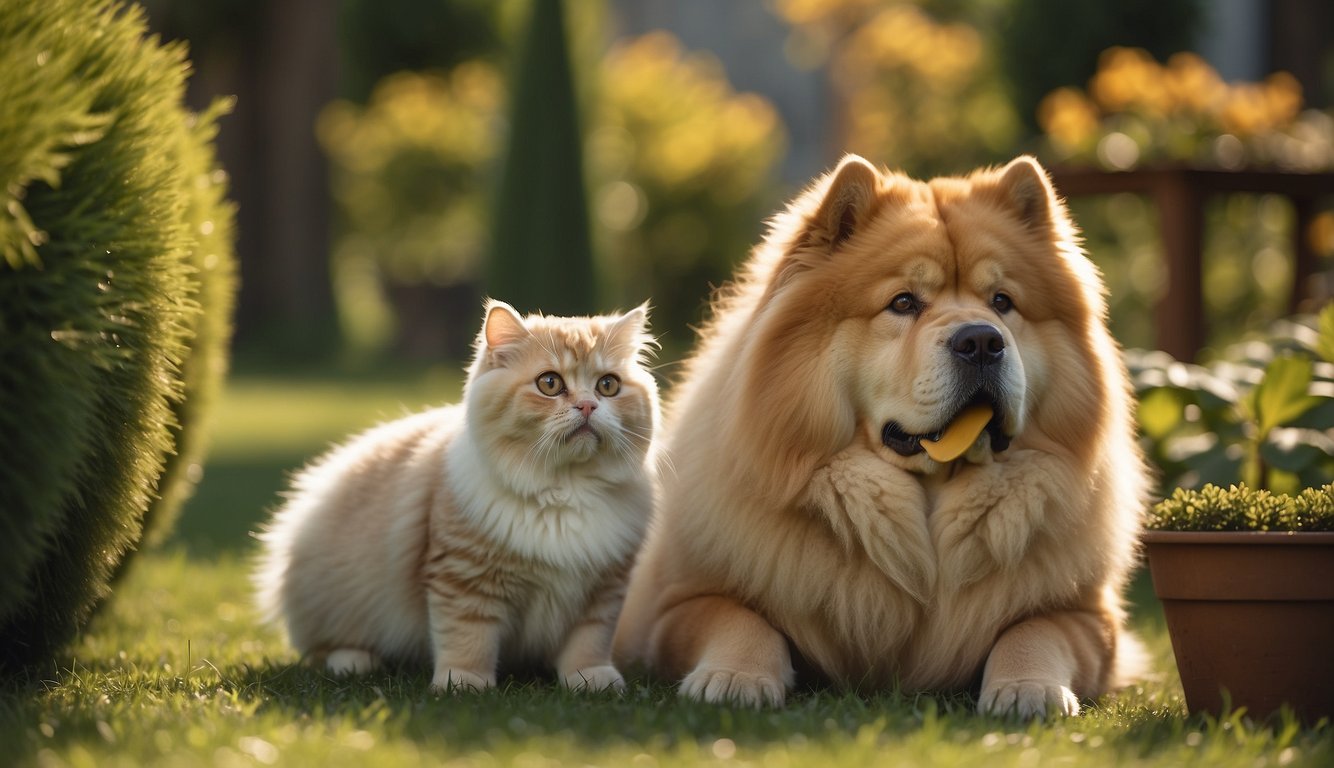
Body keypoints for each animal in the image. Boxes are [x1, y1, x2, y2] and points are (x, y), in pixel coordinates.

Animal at [253, 298, 656, 688]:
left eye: (608, 386)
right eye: (550, 383)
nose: (588, 405)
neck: (565, 490)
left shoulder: (602, 592)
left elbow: (588, 644)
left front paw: (593, 680)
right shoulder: (465, 581)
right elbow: (468, 640)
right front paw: (464, 684)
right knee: (324, 649)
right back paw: (354, 662)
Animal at [613, 153, 1147, 714]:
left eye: (1002, 302)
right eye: (904, 303)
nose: (982, 340)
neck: (923, 519)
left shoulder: (1090, 618)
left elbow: (1035, 629)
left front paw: (1028, 688)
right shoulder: (674, 606)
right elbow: (739, 618)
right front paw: (735, 677)